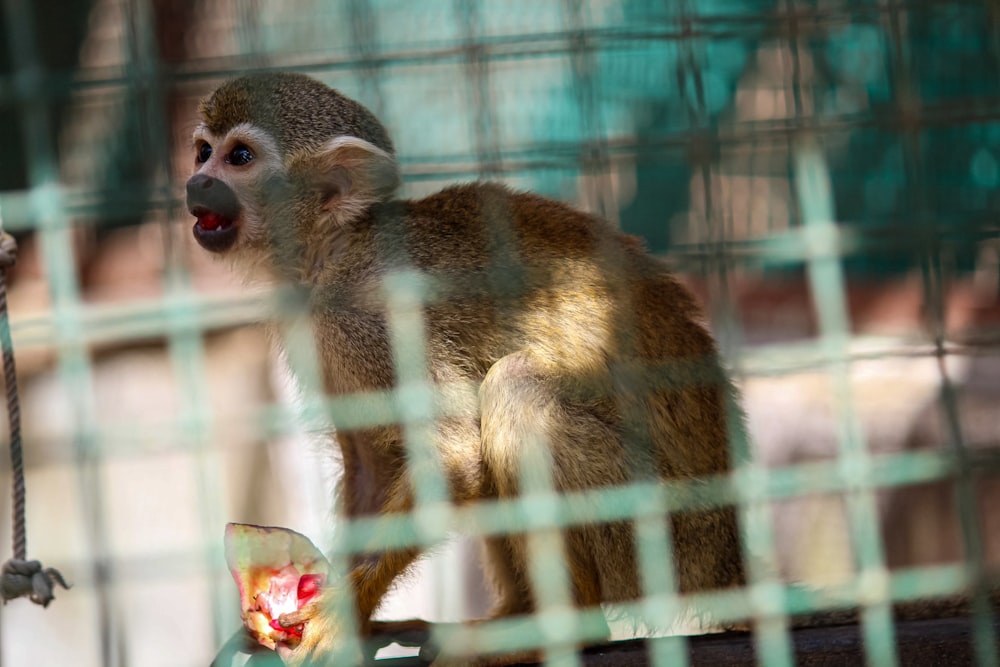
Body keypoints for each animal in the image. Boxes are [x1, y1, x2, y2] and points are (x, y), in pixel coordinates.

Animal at [188, 73, 748, 667]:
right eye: (202, 151)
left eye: (239, 157)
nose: (196, 182)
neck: (334, 247)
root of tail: (731, 560)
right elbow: (374, 467)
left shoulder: (370, 320)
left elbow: (454, 456)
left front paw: (340, 611)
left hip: (671, 537)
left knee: (515, 388)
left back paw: (565, 626)